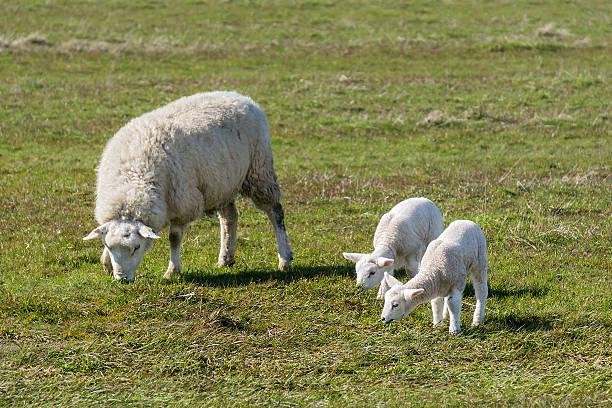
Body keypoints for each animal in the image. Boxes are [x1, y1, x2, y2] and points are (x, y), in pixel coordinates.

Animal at [83, 91, 292, 284]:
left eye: (136, 247)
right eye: (109, 247)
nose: (122, 279)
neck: (133, 178)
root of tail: (241, 97)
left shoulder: (183, 204)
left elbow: (174, 238)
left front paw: (172, 271)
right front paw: (106, 263)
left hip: (259, 171)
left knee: (275, 213)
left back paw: (284, 259)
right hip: (221, 183)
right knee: (230, 217)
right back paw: (225, 258)